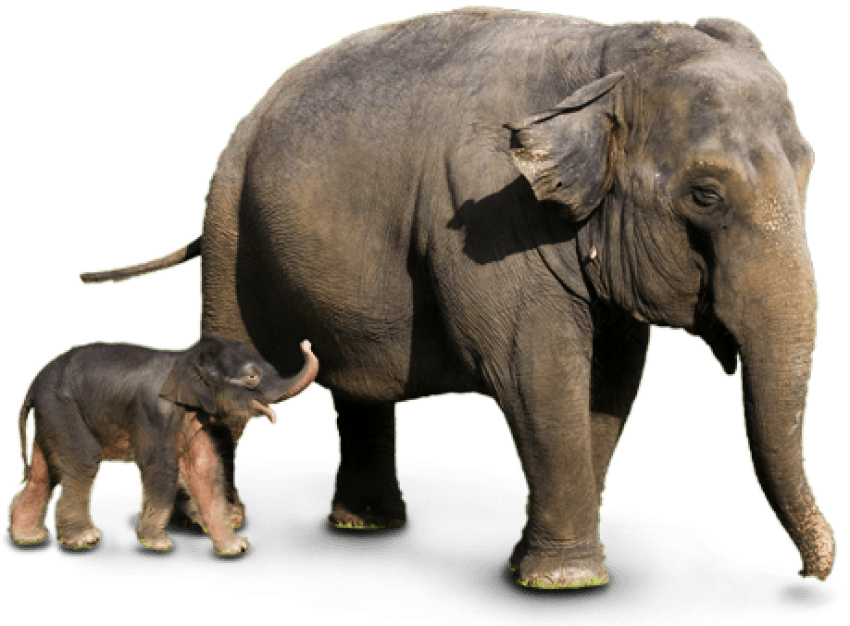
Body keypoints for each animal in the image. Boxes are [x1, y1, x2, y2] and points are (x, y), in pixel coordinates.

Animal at [7, 336, 318, 555]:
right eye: (251, 377)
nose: (307, 343)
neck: (185, 359)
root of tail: (32, 386)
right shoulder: (154, 411)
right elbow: (161, 467)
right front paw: (158, 544)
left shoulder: (198, 415)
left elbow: (205, 469)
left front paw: (235, 547)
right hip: (62, 407)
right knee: (83, 461)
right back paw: (85, 538)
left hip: (51, 416)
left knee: (42, 474)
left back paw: (27, 538)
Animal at [78, 7, 835, 586]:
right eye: (706, 194)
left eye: (808, 175)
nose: (815, 573)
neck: (603, 57)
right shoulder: (489, 219)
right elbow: (539, 376)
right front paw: (565, 580)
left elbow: (610, 386)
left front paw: (572, 568)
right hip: (234, 228)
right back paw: (220, 523)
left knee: (361, 390)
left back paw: (364, 525)